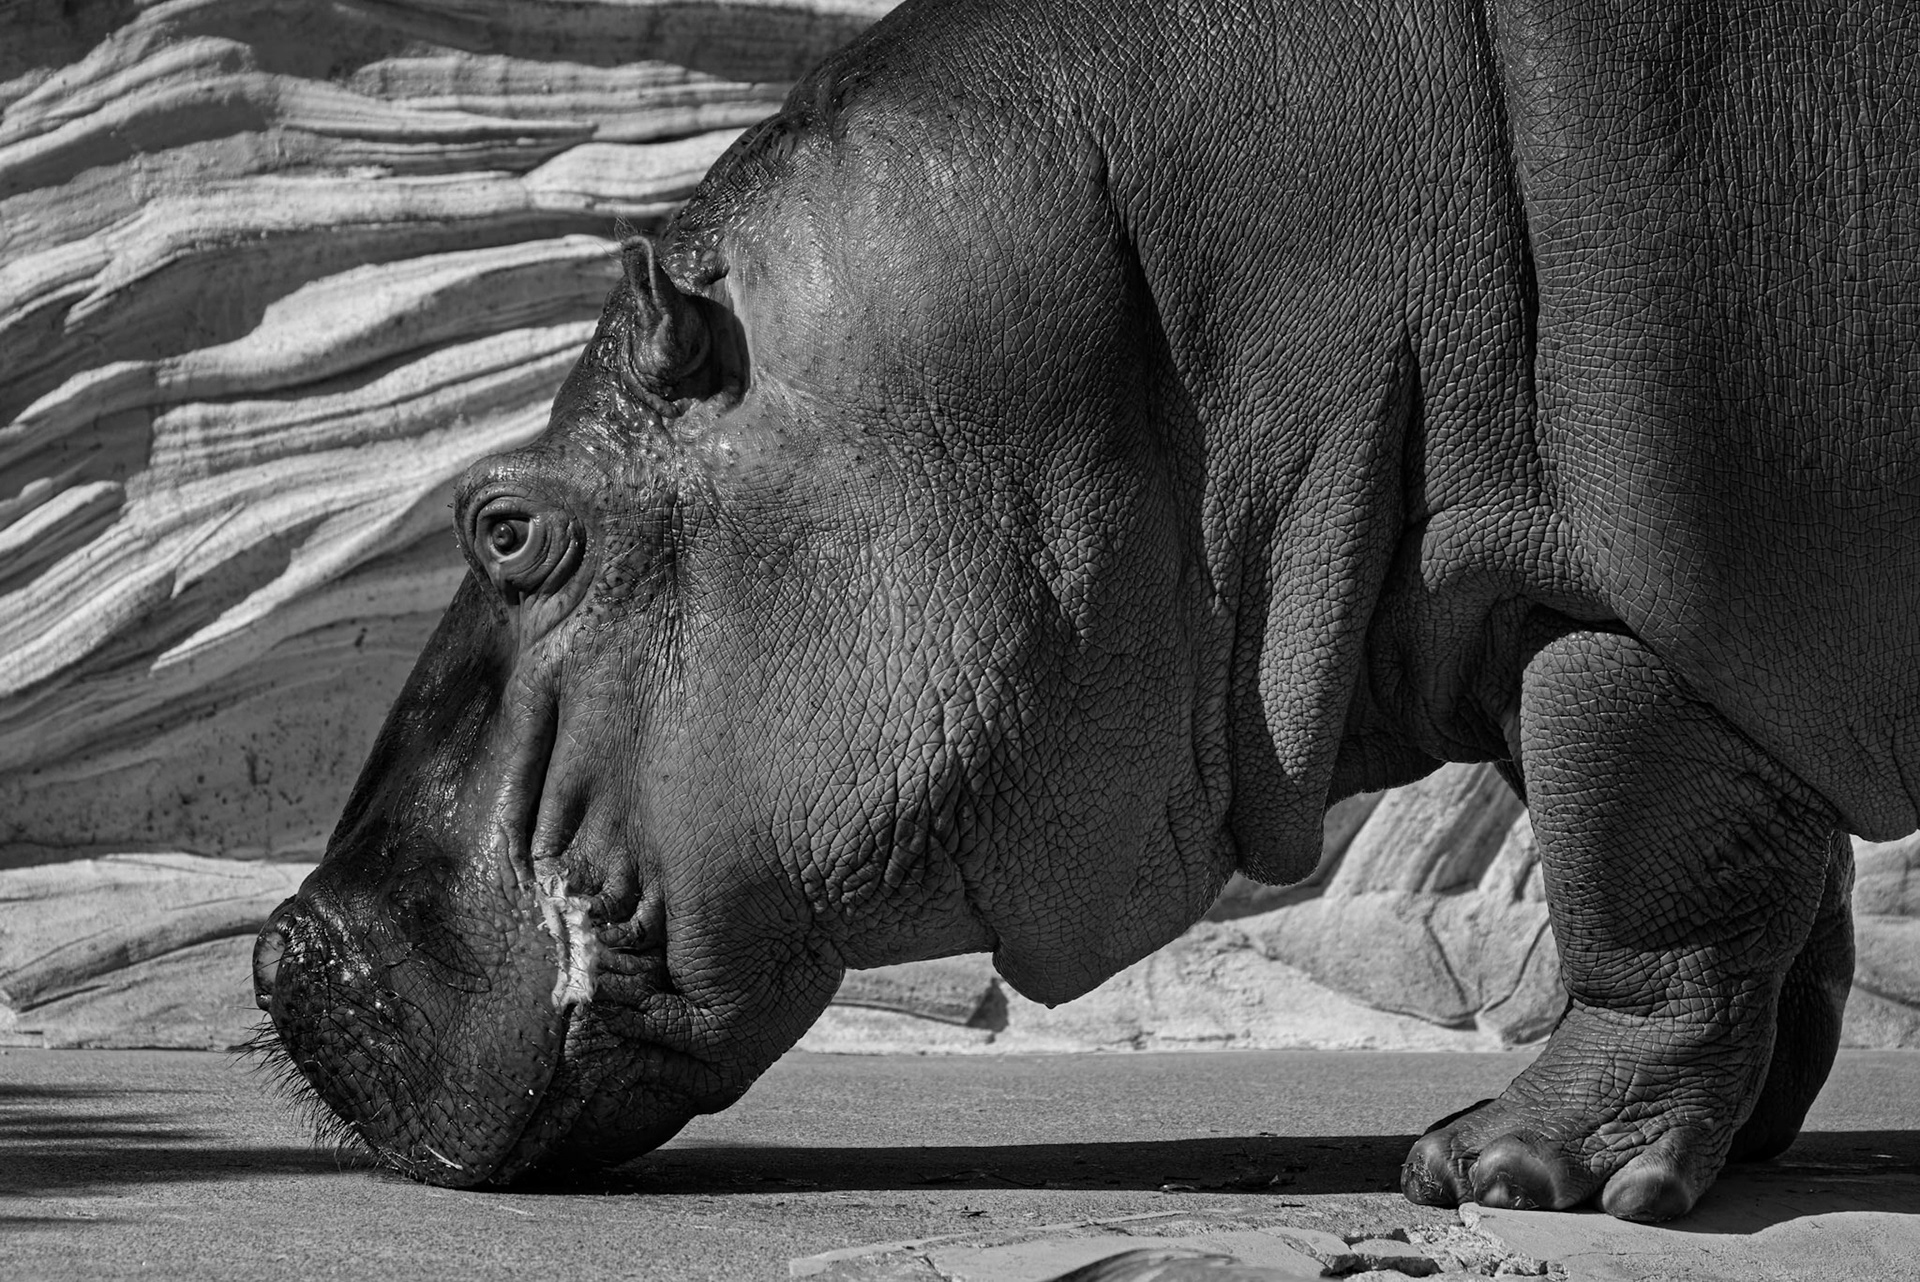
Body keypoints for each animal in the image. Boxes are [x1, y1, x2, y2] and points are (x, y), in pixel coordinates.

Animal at [251, 0, 1918, 1222]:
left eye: (507, 524)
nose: (278, 953)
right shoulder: (1658, 630)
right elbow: (1782, 911)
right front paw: (1730, 1147)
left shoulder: (1642, 617)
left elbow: (1647, 891)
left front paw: (1501, 1170)